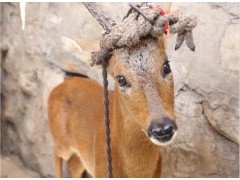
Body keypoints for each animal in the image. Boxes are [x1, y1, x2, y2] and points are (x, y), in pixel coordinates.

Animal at [47, 2, 197, 178]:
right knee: (56, 154)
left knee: (74, 165)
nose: (162, 129)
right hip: (61, 139)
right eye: (121, 79)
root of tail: (61, 86)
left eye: (166, 66)